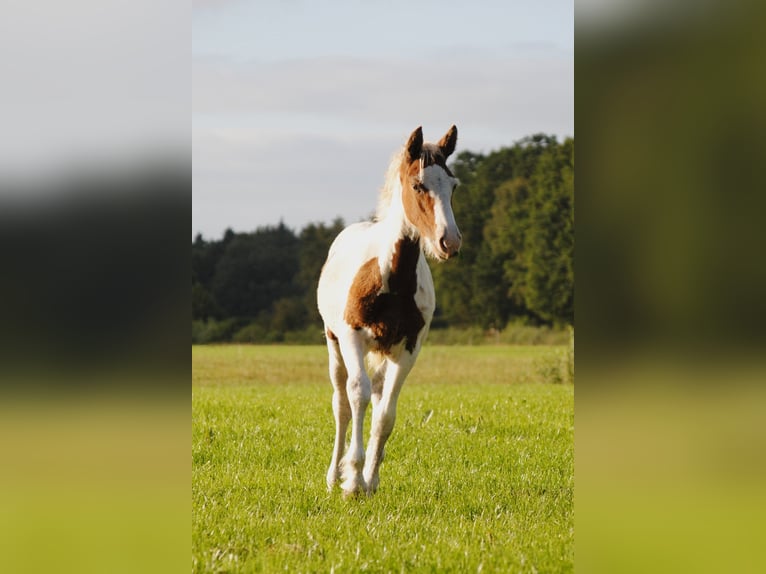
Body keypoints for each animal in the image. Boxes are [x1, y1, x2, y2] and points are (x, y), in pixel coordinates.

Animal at [317, 125, 462, 496]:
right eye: (418, 185)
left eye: (453, 185)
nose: (450, 242)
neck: (392, 278)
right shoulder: (352, 337)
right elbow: (357, 395)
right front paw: (352, 480)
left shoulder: (409, 347)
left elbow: (385, 415)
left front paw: (368, 481)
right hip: (333, 342)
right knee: (342, 403)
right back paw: (333, 475)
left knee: (378, 393)